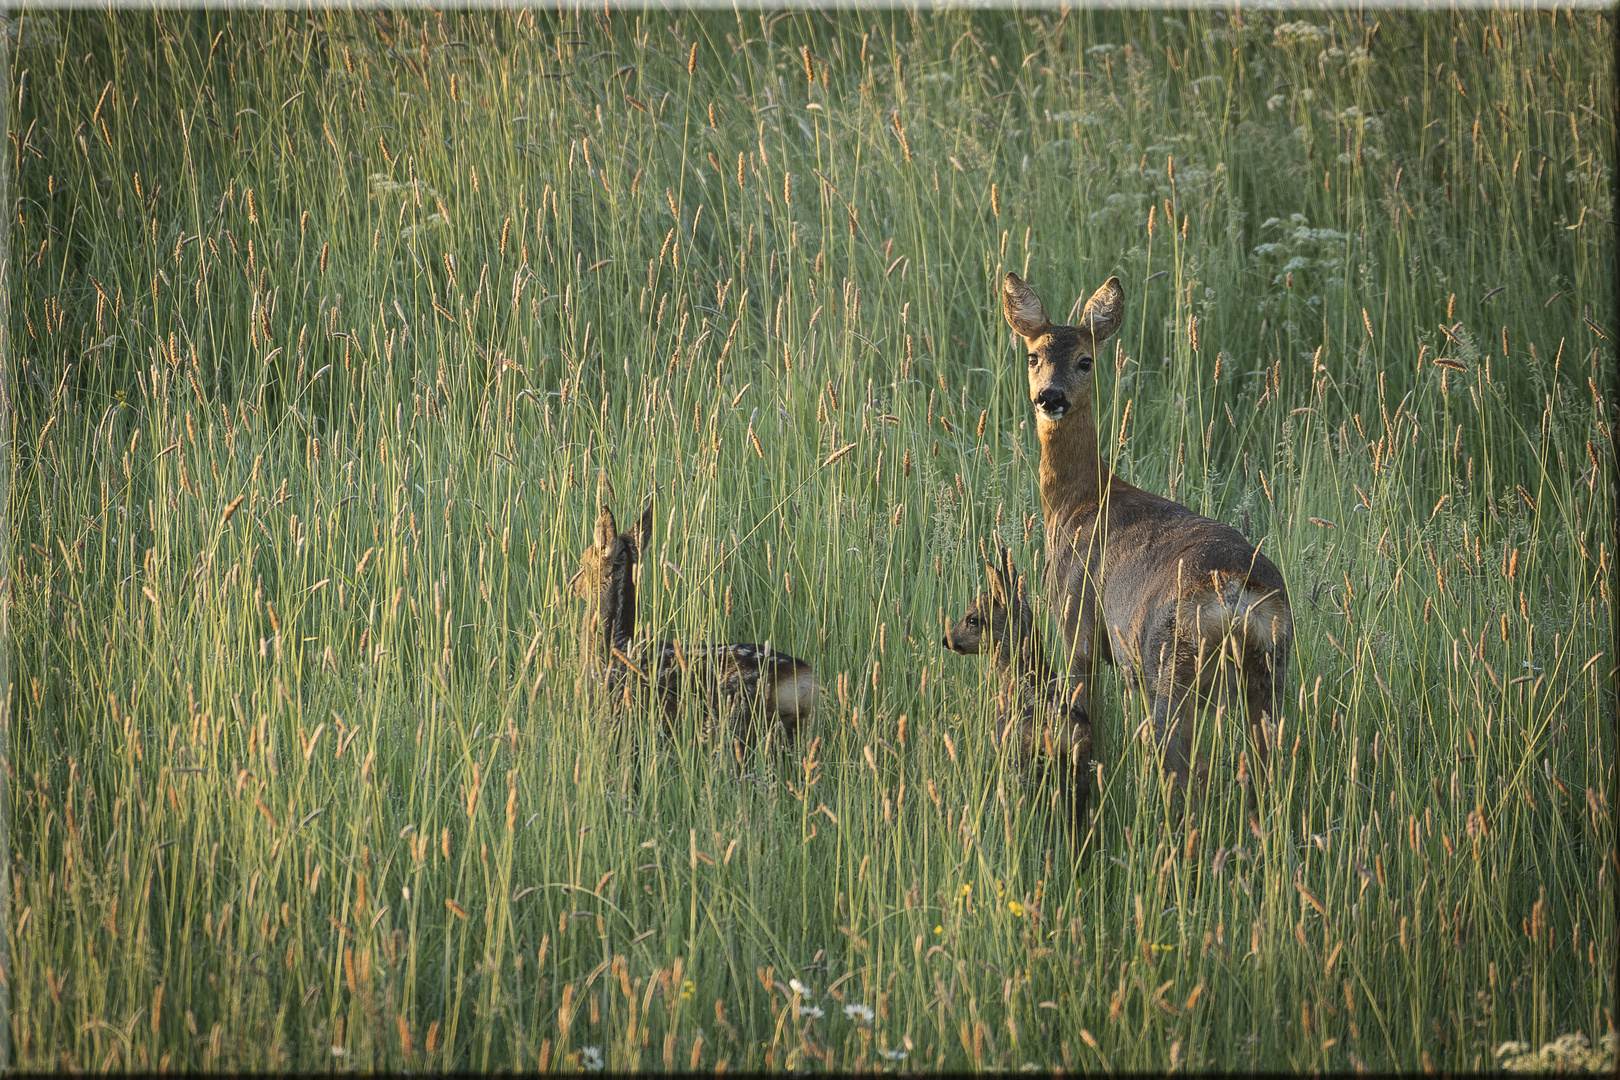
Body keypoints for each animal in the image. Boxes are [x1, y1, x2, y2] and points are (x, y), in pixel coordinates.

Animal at [997, 272, 1289, 803]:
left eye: (1085, 360)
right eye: (1033, 356)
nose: (1050, 397)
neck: (1081, 502)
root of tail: (1234, 594)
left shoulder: (1076, 624)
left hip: (1168, 667)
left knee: (1180, 772)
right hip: (1272, 668)